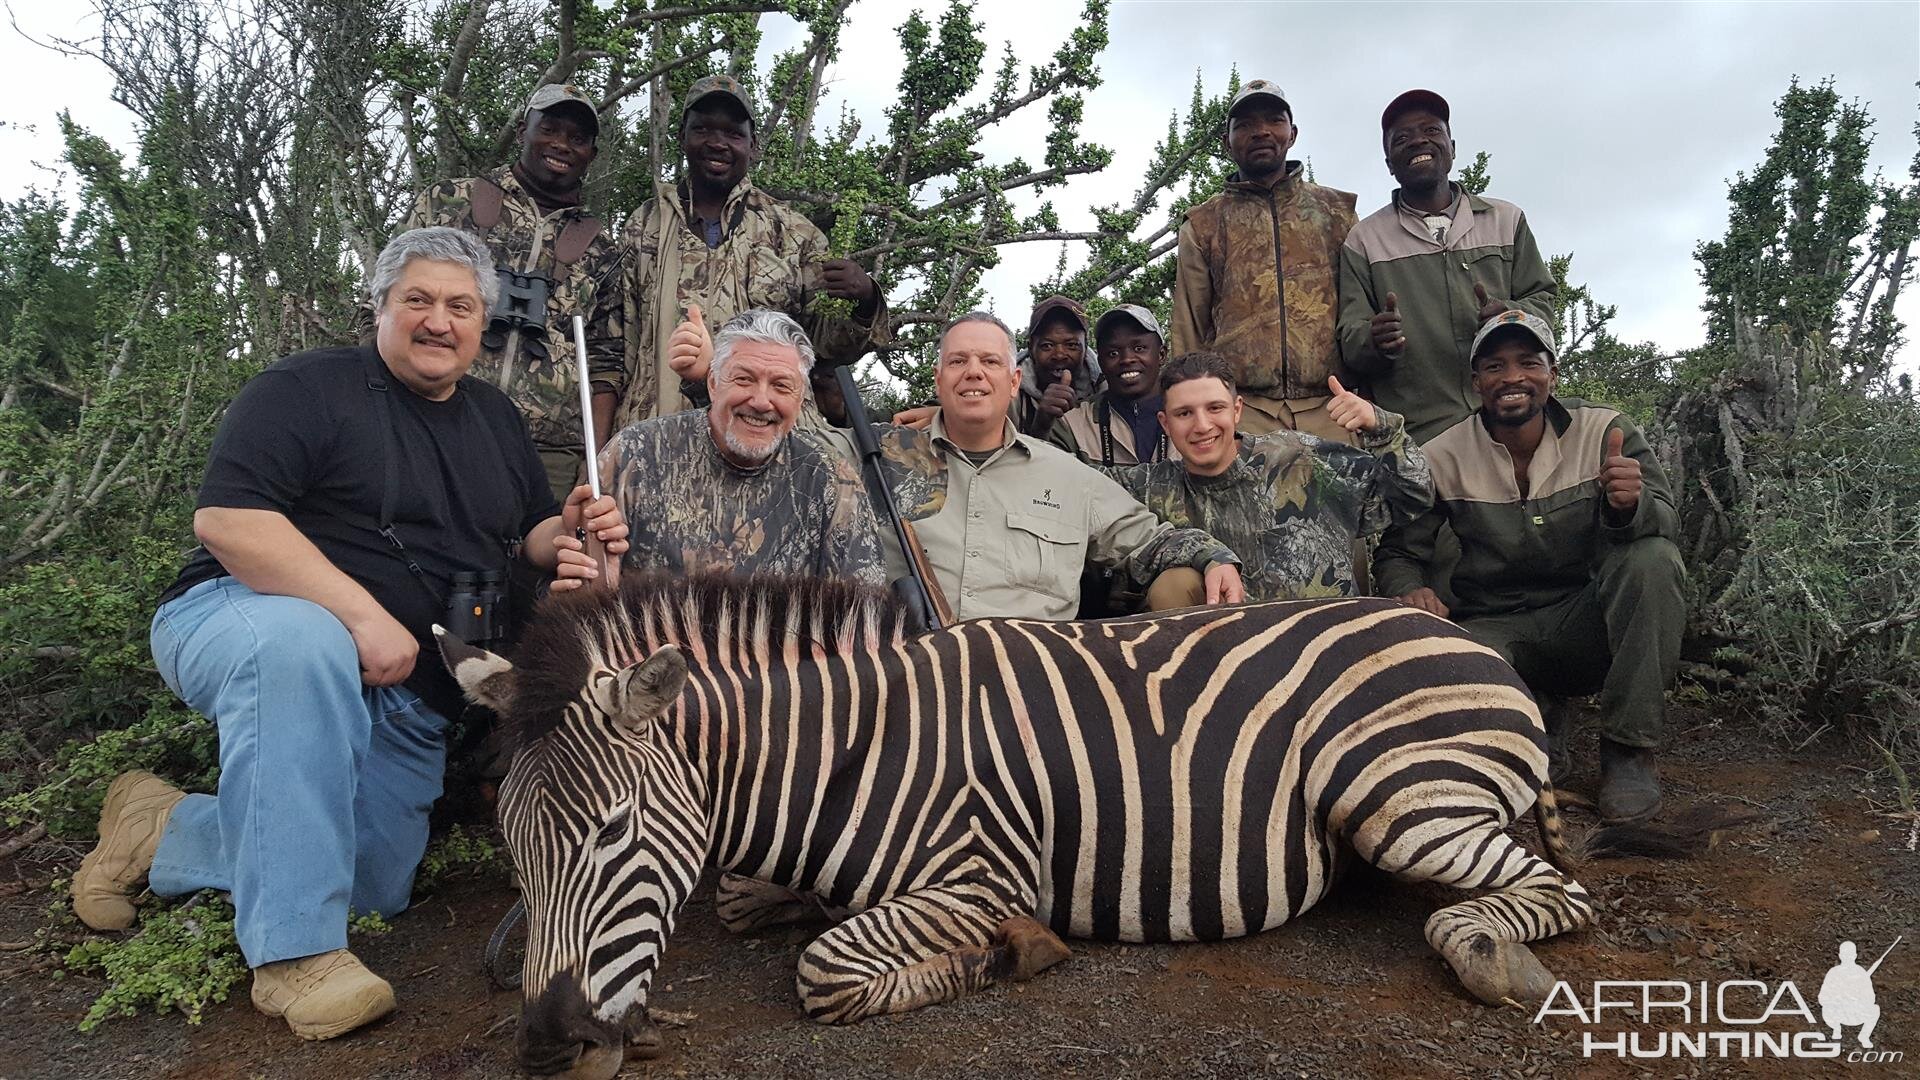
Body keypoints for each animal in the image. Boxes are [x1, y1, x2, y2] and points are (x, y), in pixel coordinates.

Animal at [441, 568, 1597, 1068]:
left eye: (611, 834)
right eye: (517, 852)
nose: (547, 1043)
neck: (842, 754)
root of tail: (1462, 634)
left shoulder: (981, 871)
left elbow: (823, 969)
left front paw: (1002, 955)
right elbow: (751, 907)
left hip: (1400, 795)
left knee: (1549, 893)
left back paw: (1490, 952)